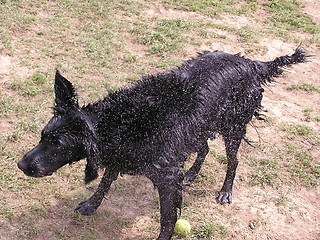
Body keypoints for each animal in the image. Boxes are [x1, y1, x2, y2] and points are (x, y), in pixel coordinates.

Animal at [17, 47, 308, 239]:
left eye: (57, 144)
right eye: (43, 136)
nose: (21, 164)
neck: (122, 122)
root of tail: (253, 62)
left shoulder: (166, 176)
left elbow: (168, 219)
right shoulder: (124, 153)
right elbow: (106, 180)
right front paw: (91, 203)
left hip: (232, 126)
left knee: (233, 160)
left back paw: (226, 191)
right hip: (198, 129)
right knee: (204, 148)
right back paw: (191, 173)